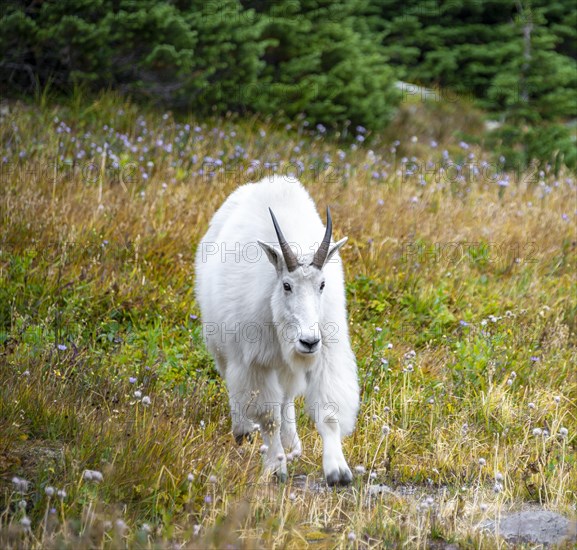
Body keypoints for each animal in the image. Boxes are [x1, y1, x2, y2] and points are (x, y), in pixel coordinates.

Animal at [198, 177, 360, 488]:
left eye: (322, 284)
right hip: (222, 346)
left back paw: (293, 445)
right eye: (287, 285)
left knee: (286, 398)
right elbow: (267, 416)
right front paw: (275, 468)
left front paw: (338, 471)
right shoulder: (254, 362)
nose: (308, 341)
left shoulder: (325, 352)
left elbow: (328, 411)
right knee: (239, 389)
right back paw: (243, 431)